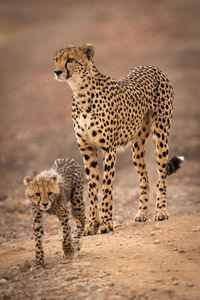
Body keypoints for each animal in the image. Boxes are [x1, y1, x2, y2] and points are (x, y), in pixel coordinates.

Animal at [54, 42, 184, 234]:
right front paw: (92, 225)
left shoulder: (108, 150)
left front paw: (106, 223)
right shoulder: (87, 150)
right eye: (56, 59)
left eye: (70, 60)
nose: (56, 72)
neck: (80, 92)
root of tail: (152, 67)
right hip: (136, 147)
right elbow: (92, 189)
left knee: (161, 177)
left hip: (161, 135)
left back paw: (161, 211)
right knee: (145, 179)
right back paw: (142, 213)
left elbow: (107, 188)